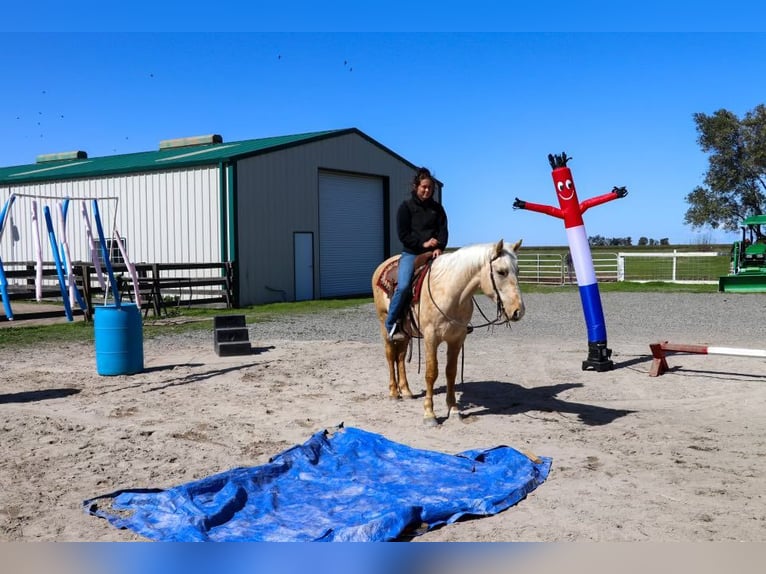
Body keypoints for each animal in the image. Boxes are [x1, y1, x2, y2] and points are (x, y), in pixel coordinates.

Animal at [374, 240, 528, 428]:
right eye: (501, 272)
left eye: (517, 271)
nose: (518, 311)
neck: (450, 292)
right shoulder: (431, 338)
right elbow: (431, 373)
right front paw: (429, 414)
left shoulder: (457, 339)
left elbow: (451, 372)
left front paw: (453, 410)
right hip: (385, 325)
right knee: (390, 356)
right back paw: (394, 393)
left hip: (405, 333)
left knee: (401, 357)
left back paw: (406, 391)